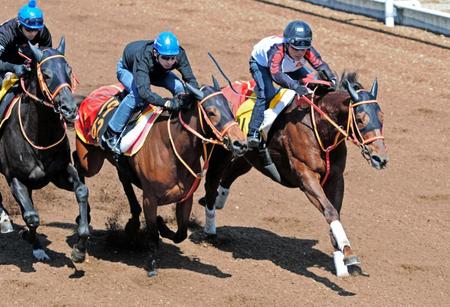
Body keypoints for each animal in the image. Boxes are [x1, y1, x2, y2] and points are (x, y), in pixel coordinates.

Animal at [0, 37, 89, 262]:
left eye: (68, 69)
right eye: (46, 74)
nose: (69, 108)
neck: (38, 134)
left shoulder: (60, 172)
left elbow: (82, 190)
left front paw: (80, 247)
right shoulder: (15, 178)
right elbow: (31, 217)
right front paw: (32, 241)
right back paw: (4, 220)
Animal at [75, 83, 248, 276]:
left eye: (230, 109)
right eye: (211, 112)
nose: (240, 143)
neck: (172, 150)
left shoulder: (185, 198)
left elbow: (181, 233)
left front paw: (162, 225)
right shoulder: (150, 198)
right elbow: (152, 233)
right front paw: (151, 264)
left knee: (124, 178)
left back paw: (132, 222)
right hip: (90, 161)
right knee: (77, 161)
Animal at [199, 73, 388, 278]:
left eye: (382, 117)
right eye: (360, 119)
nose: (380, 158)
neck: (319, 128)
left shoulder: (336, 178)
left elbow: (335, 212)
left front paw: (342, 259)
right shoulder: (305, 176)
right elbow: (330, 211)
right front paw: (348, 253)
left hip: (247, 157)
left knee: (230, 174)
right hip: (222, 150)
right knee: (212, 182)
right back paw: (210, 231)